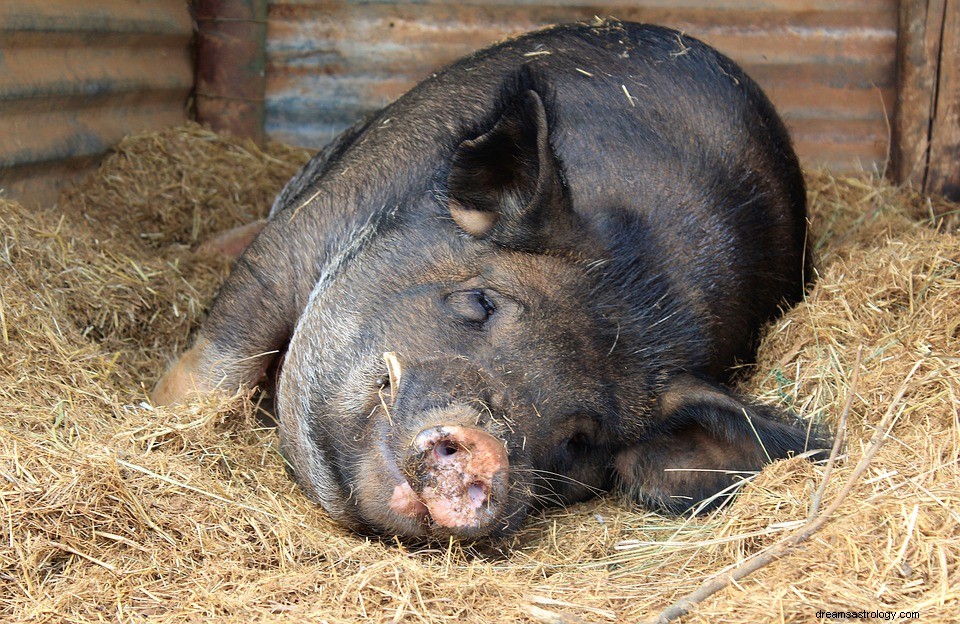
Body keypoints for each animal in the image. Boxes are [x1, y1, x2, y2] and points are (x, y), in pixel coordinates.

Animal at [154, 22, 820, 540]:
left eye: (581, 439)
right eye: (479, 301)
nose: (489, 450)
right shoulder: (308, 231)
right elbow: (221, 363)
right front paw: (154, 418)